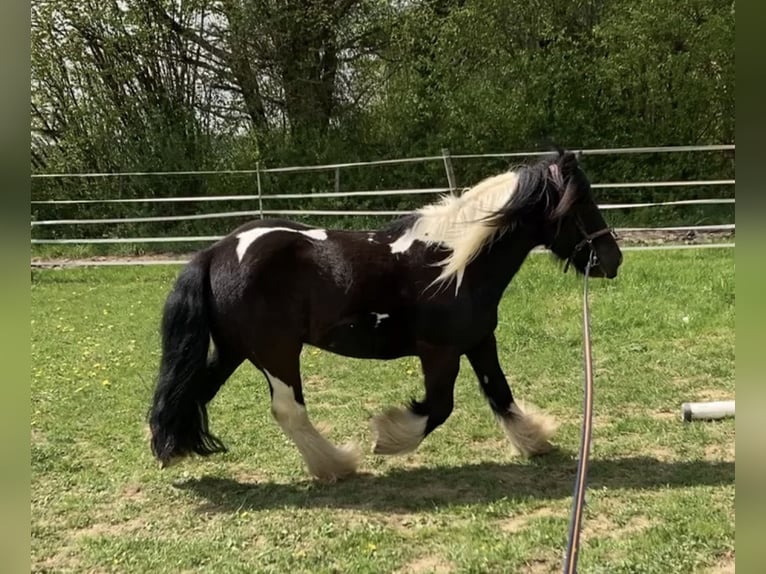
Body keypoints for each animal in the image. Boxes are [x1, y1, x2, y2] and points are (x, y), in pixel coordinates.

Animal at [148, 150, 623, 481]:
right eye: (581, 204)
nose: (612, 259)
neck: (455, 264)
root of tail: (215, 251)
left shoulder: (479, 340)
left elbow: (500, 394)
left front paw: (535, 440)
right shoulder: (439, 352)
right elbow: (439, 407)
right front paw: (387, 437)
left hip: (234, 349)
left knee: (192, 392)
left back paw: (173, 446)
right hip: (276, 352)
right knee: (288, 410)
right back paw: (336, 464)